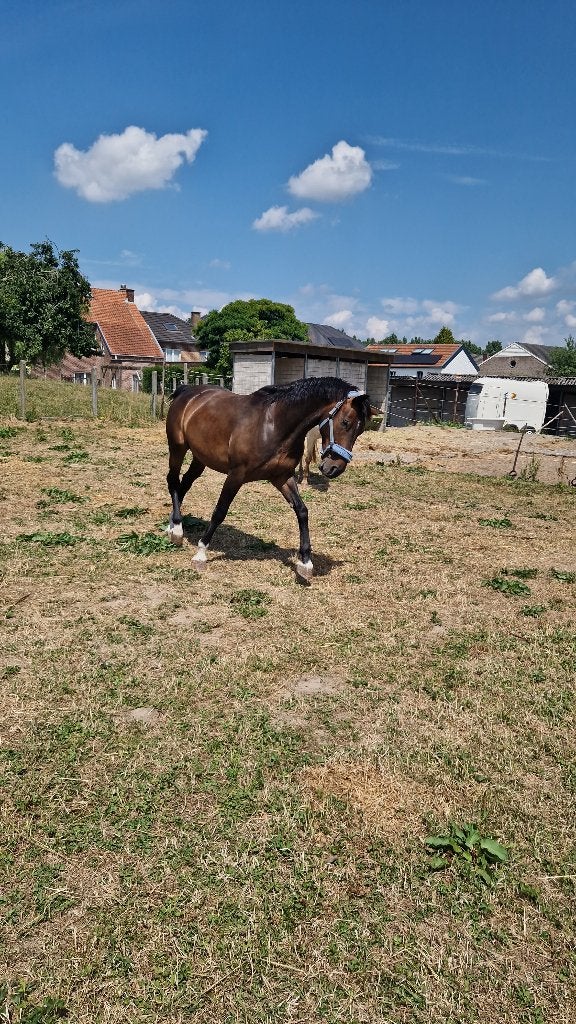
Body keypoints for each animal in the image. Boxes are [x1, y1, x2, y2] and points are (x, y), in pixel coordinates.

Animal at [165, 376, 371, 580]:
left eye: (360, 430)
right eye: (345, 422)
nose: (334, 468)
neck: (273, 426)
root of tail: (187, 391)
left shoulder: (282, 477)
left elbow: (302, 511)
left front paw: (305, 562)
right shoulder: (236, 475)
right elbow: (220, 511)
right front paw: (201, 553)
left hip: (200, 458)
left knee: (185, 483)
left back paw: (173, 525)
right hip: (177, 448)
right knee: (173, 481)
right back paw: (177, 530)